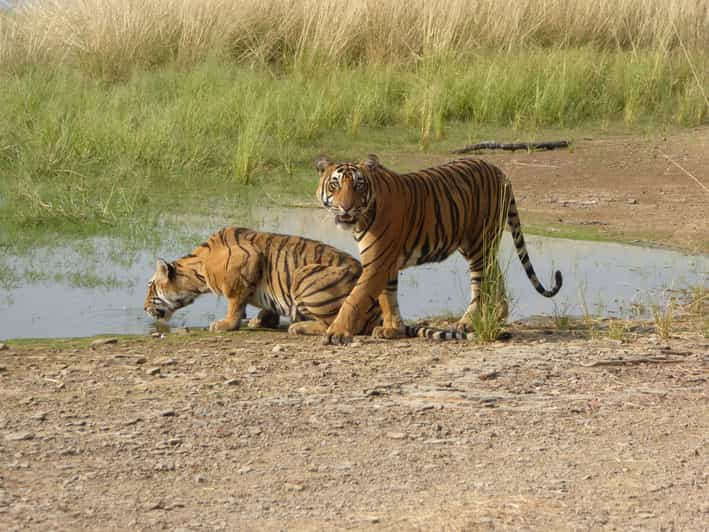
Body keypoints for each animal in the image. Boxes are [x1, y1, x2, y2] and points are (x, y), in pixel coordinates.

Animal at [316, 154, 564, 344]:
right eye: (335, 185)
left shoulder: (378, 263)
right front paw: (392, 329)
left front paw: (336, 333)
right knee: (496, 277)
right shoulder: (386, 263)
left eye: (358, 185)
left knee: (481, 284)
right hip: (474, 245)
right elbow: (389, 297)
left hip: (479, 244)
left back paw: (467, 323)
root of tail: (499, 171)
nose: (346, 207)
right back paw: (496, 317)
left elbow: (354, 299)